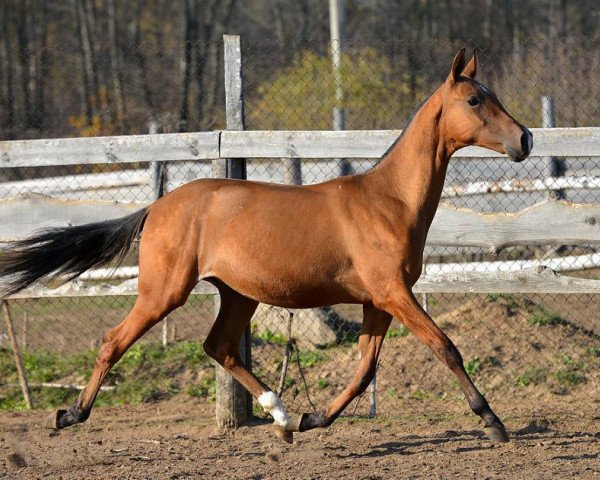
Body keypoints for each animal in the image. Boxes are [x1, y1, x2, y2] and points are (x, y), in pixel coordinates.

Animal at [1, 48, 536, 442]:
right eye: (475, 101)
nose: (526, 139)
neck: (389, 201)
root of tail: (156, 207)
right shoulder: (392, 294)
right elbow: (446, 348)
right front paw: (493, 423)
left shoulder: (379, 300)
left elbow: (364, 370)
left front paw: (312, 418)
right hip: (164, 292)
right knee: (115, 340)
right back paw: (69, 414)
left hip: (239, 294)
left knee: (220, 347)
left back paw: (281, 417)